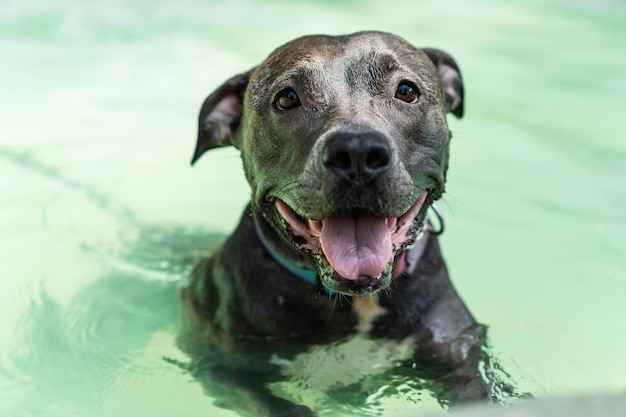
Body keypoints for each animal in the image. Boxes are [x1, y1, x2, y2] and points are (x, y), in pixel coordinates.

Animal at [174, 30, 502, 414]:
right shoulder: (226, 368)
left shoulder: (456, 347)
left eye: (406, 91)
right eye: (287, 98)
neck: (358, 303)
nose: (358, 151)